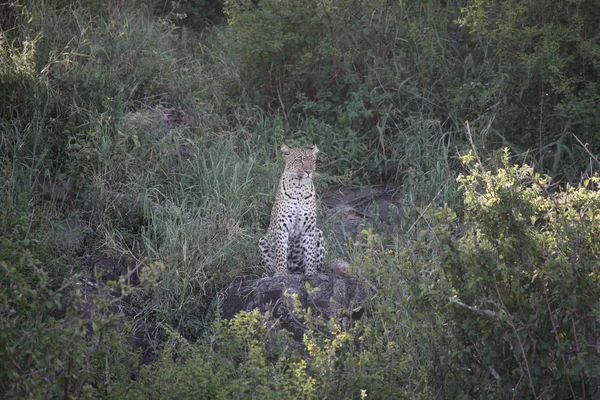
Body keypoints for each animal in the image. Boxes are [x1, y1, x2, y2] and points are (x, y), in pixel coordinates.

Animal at [256, 144, 324, 276]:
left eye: (312, 161)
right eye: (299, 161)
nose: (309, 171)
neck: (299, 188)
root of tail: (293, 268)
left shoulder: (309, 229)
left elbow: (311, 253)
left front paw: (311, 273)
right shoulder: (281, 227)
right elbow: (281, 252)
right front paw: (281, 273)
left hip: (318, 232)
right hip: (262, 241)